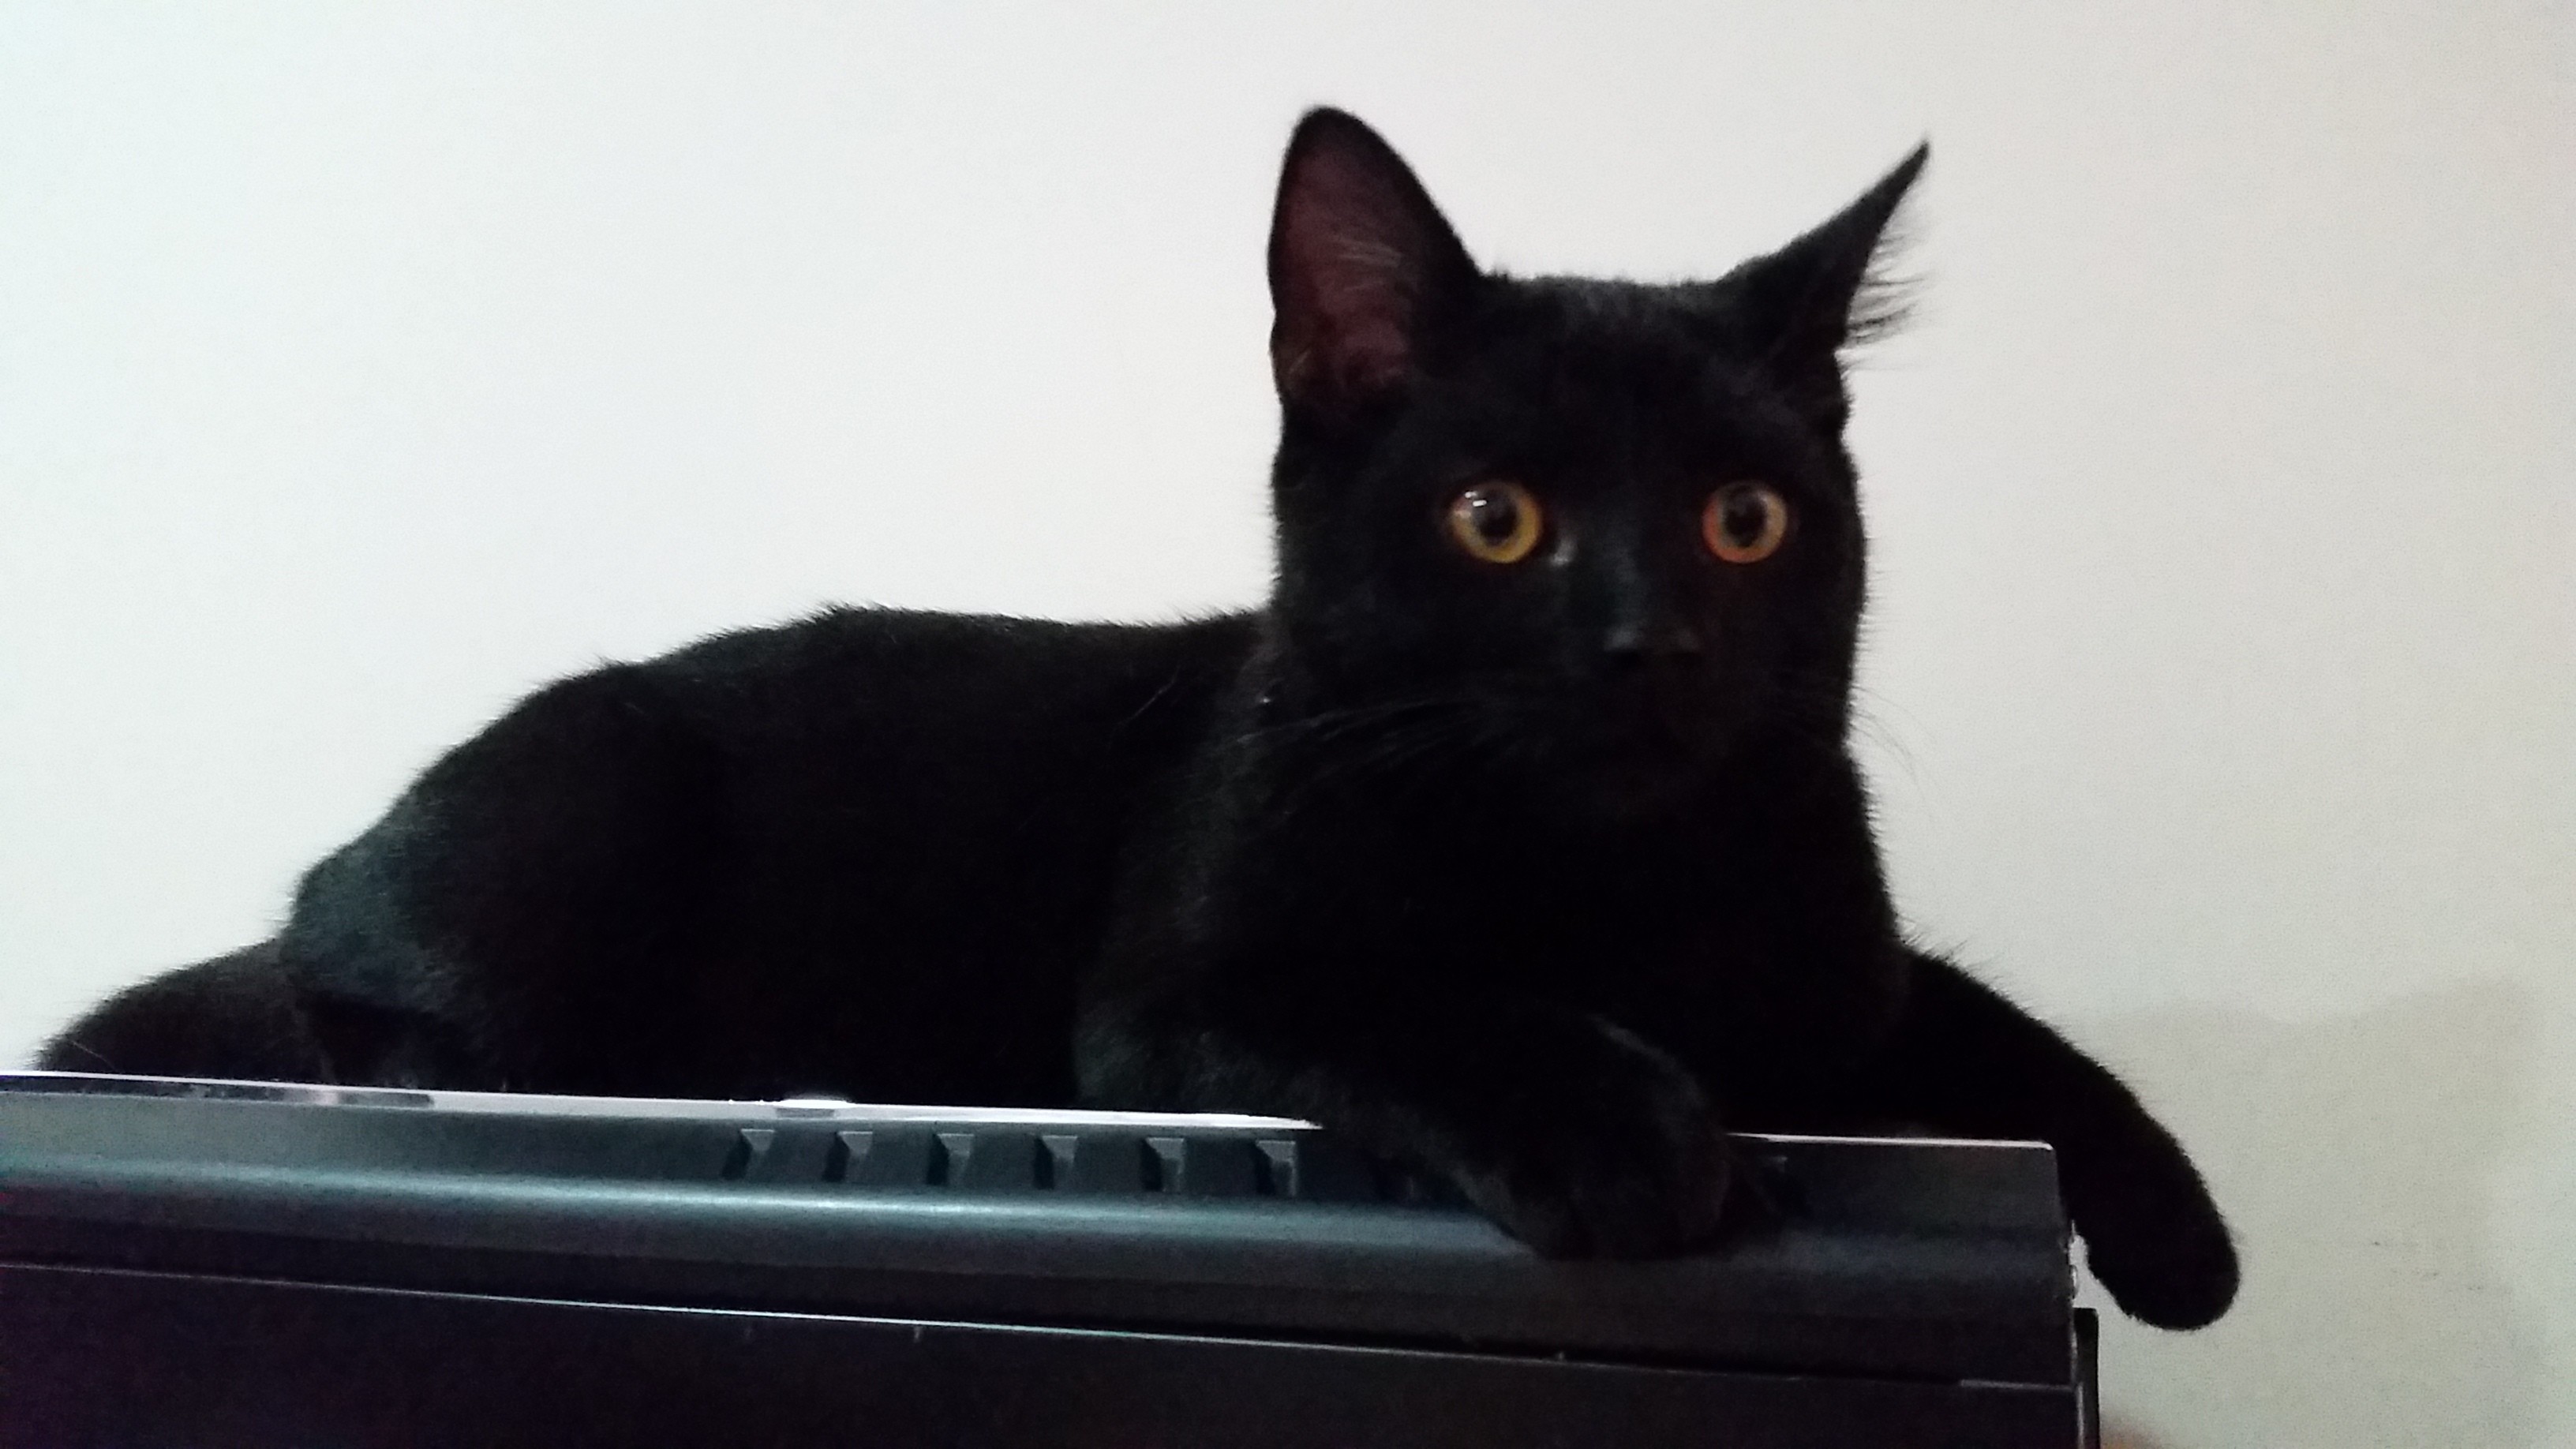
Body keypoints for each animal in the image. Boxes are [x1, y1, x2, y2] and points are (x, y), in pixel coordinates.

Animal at [41, 108, 2239, 1330]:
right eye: (1497, 518)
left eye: (1744, 519)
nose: (1648, 642)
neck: (1616, 898)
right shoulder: (1176, 992)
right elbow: (1417, 1000)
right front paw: (1626, 1130)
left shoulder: (1839, 978)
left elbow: (2007, 1036)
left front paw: (2176, 1225)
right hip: (582, 819)